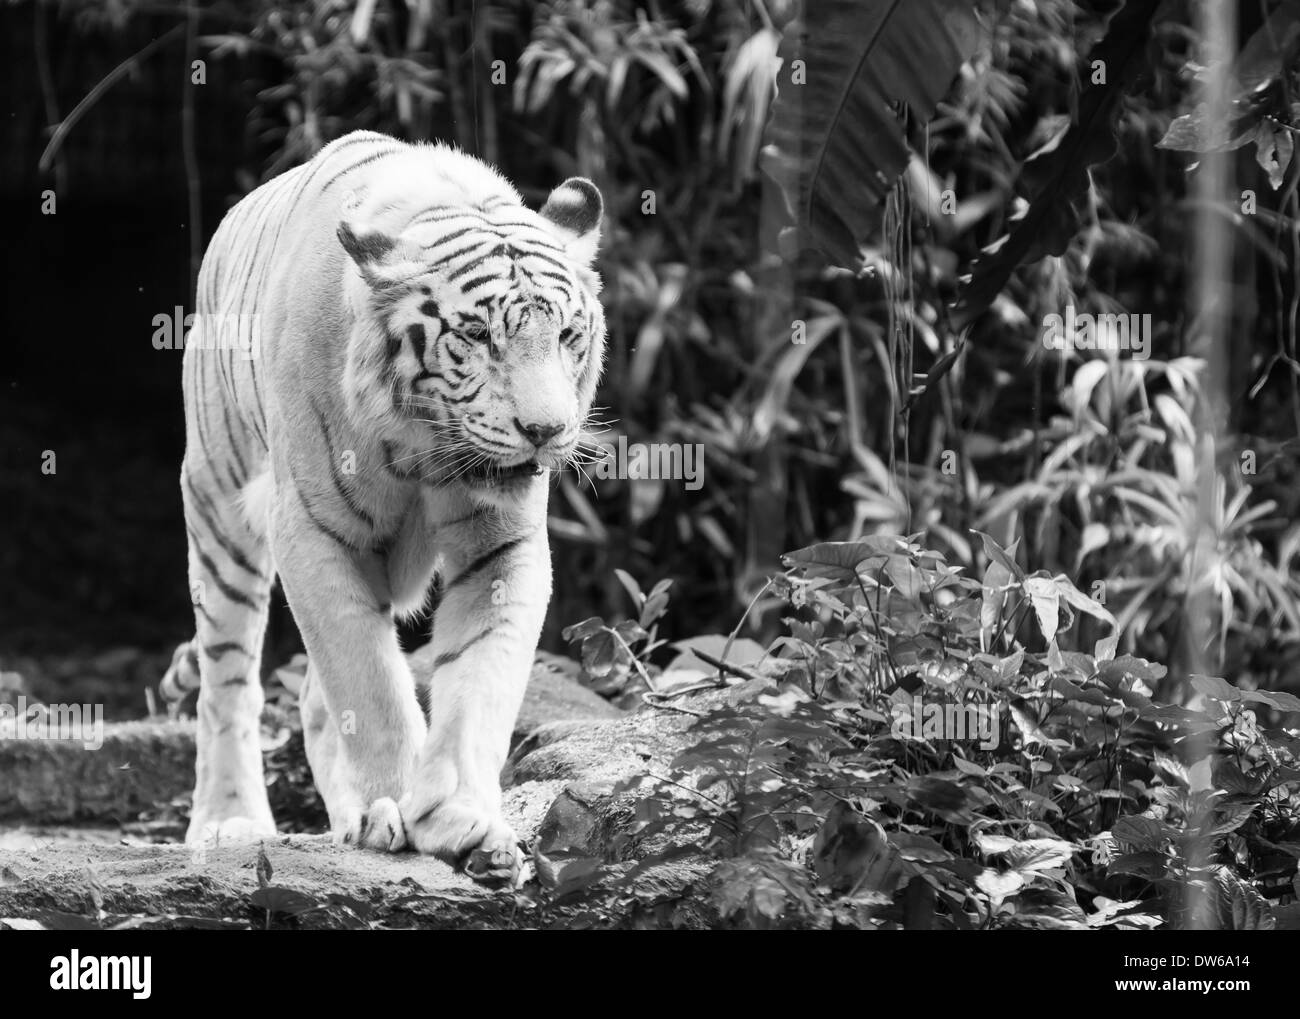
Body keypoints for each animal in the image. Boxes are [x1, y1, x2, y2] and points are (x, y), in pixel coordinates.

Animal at [161, 131, 603, 883]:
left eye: (568, 336)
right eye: (479, 337)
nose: (546, 430)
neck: (423, 446)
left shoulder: (502, 544)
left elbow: (479, 678)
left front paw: (461, 819)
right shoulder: (311, 529)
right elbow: (366, 681)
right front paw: (394, 801)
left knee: (310, 697)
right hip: (218, 505)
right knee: (229, 678)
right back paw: (229, 821)